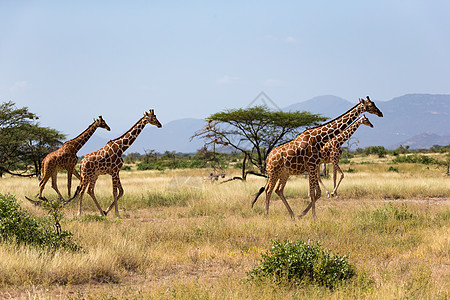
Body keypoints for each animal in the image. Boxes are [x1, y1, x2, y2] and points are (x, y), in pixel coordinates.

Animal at [251, 97, 382, 219]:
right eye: (371, 105)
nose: (381, 113)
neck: (320, 138)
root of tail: (268, 157)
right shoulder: (314, 165)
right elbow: (313, 193)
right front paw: (313, 216)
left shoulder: (313, 166)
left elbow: (317, 192)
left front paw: (305, 214)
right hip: (274, 172)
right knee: (268, 190)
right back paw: (267, 215)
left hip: (283, 173)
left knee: (278, 190)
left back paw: (292, 215)